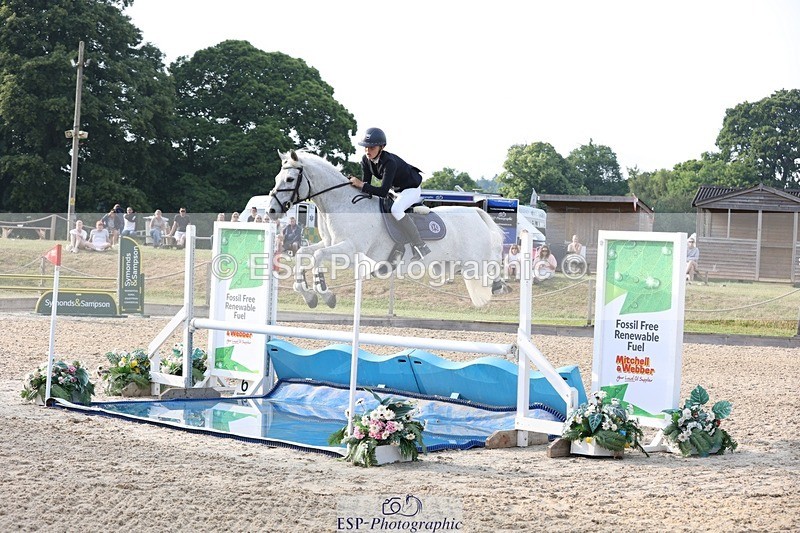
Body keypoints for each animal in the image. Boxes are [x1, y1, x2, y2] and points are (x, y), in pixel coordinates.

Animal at [266, 150, 510, 309]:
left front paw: (326, 295)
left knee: (493, 266)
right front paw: (308, 295)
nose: (271, 210)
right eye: (278, 177)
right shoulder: (329, 243)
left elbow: (317, 256)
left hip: (475, 262)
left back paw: (500, 285)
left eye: (290, 178)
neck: (342, 204)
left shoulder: (349, 251)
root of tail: (476, 213)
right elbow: (302, 253)